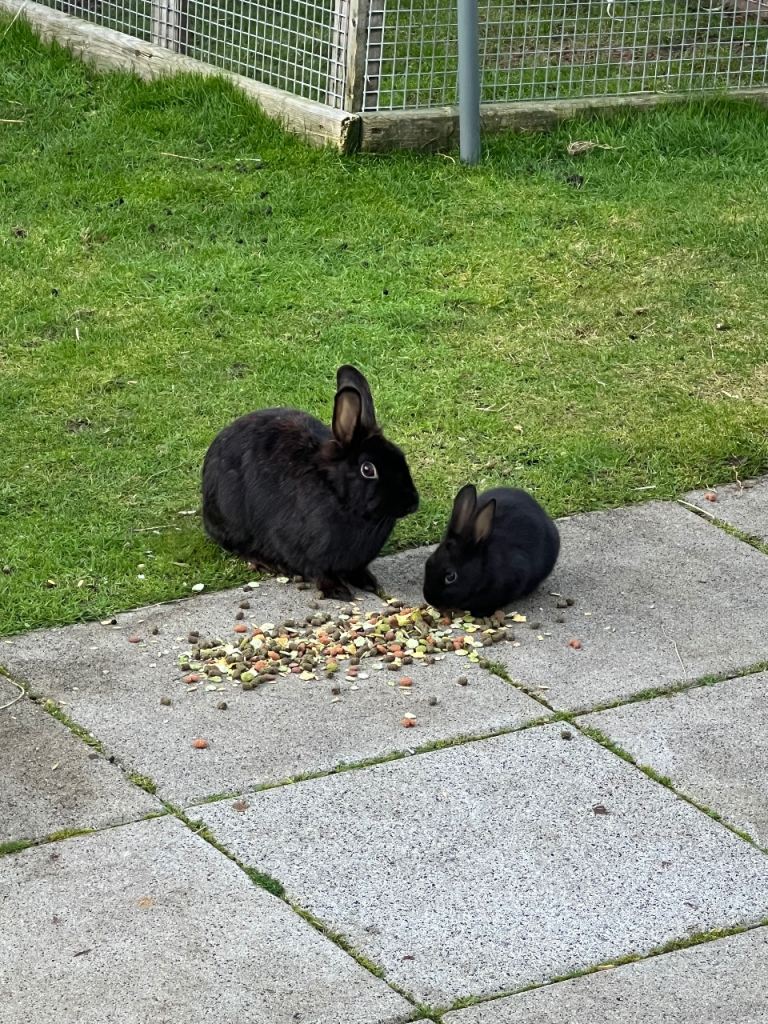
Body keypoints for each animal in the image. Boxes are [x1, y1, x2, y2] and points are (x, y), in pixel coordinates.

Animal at [202, 365, 419, 600]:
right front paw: (338, 591)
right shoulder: (300, 549)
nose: (412, 503)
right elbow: (318, 572)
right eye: (368, 470)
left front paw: (369, 583)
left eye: (400, 456)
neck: (339, 497)